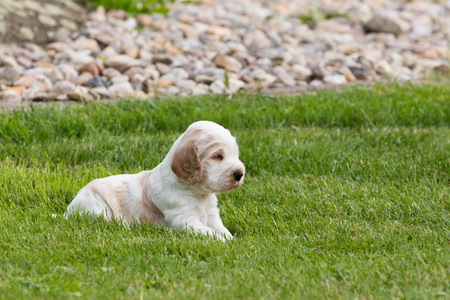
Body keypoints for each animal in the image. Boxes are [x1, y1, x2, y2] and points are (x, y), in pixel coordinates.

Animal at [65, 120, 244, 240]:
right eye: (218, 156)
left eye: (235, 154)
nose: (240, 174)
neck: (198, 193)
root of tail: (68, 211)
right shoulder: (184, 219)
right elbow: (209, 232)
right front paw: (222, 241)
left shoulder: (212, 215)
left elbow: (222, 230)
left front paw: (231, 240)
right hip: (97, 207)